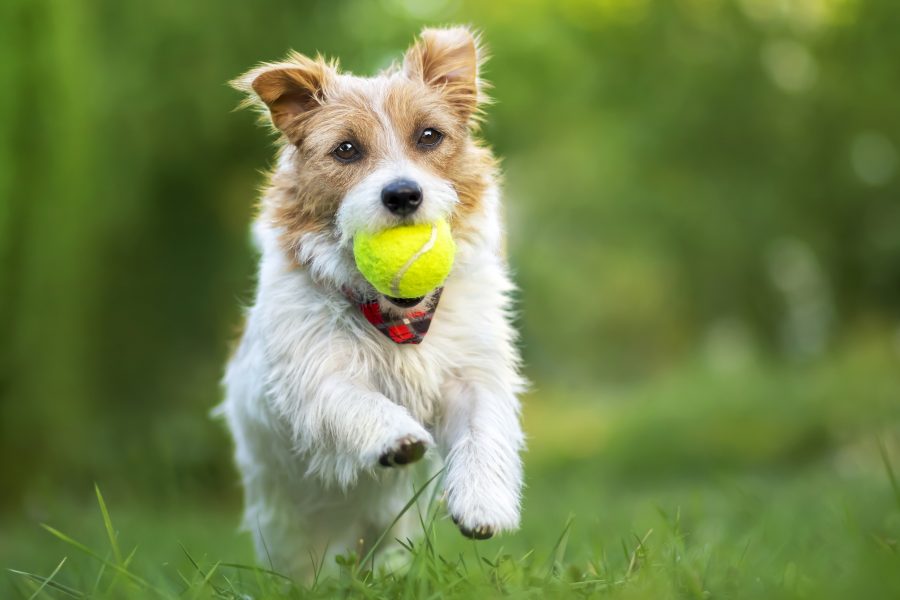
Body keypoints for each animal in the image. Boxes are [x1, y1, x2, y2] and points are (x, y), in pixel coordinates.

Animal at [220, 24, 528, 576]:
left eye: (429, 136)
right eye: (346, 149)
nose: (402, 194)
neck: (398, 319)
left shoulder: (472, 375)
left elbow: (483, 432)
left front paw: (482, 503)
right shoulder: (315, 372)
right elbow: (354, 400)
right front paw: (396, 437)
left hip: (391, 531)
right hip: (285, 533)